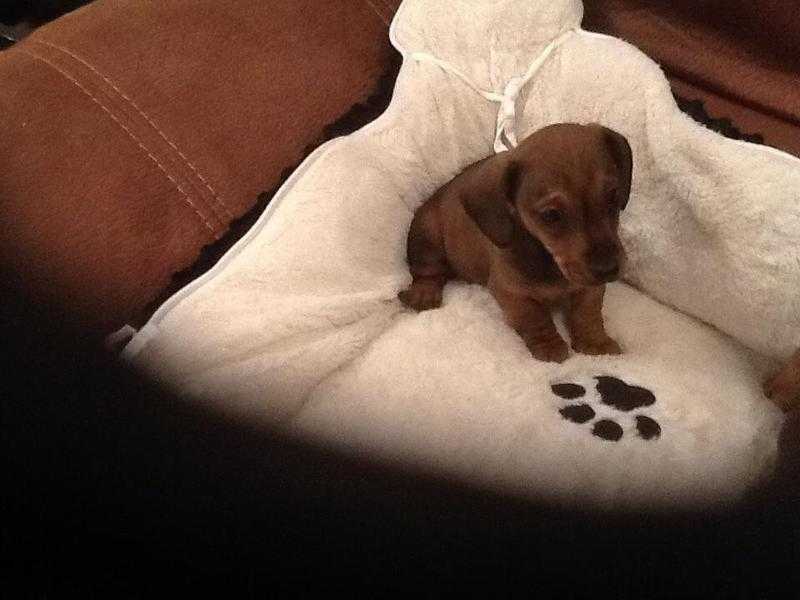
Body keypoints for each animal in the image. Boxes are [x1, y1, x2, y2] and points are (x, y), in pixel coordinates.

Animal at [400, 122, 632, 360]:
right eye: (551, 215)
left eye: (612, 196)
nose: (608, 269)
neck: (548, 260)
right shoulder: (512, 292)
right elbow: (535, 318)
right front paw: (549, 346)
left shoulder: (589, 288)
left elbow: (588, 312)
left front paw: (595, 342)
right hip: (427, 237)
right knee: (428, 273)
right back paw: (424, 294)